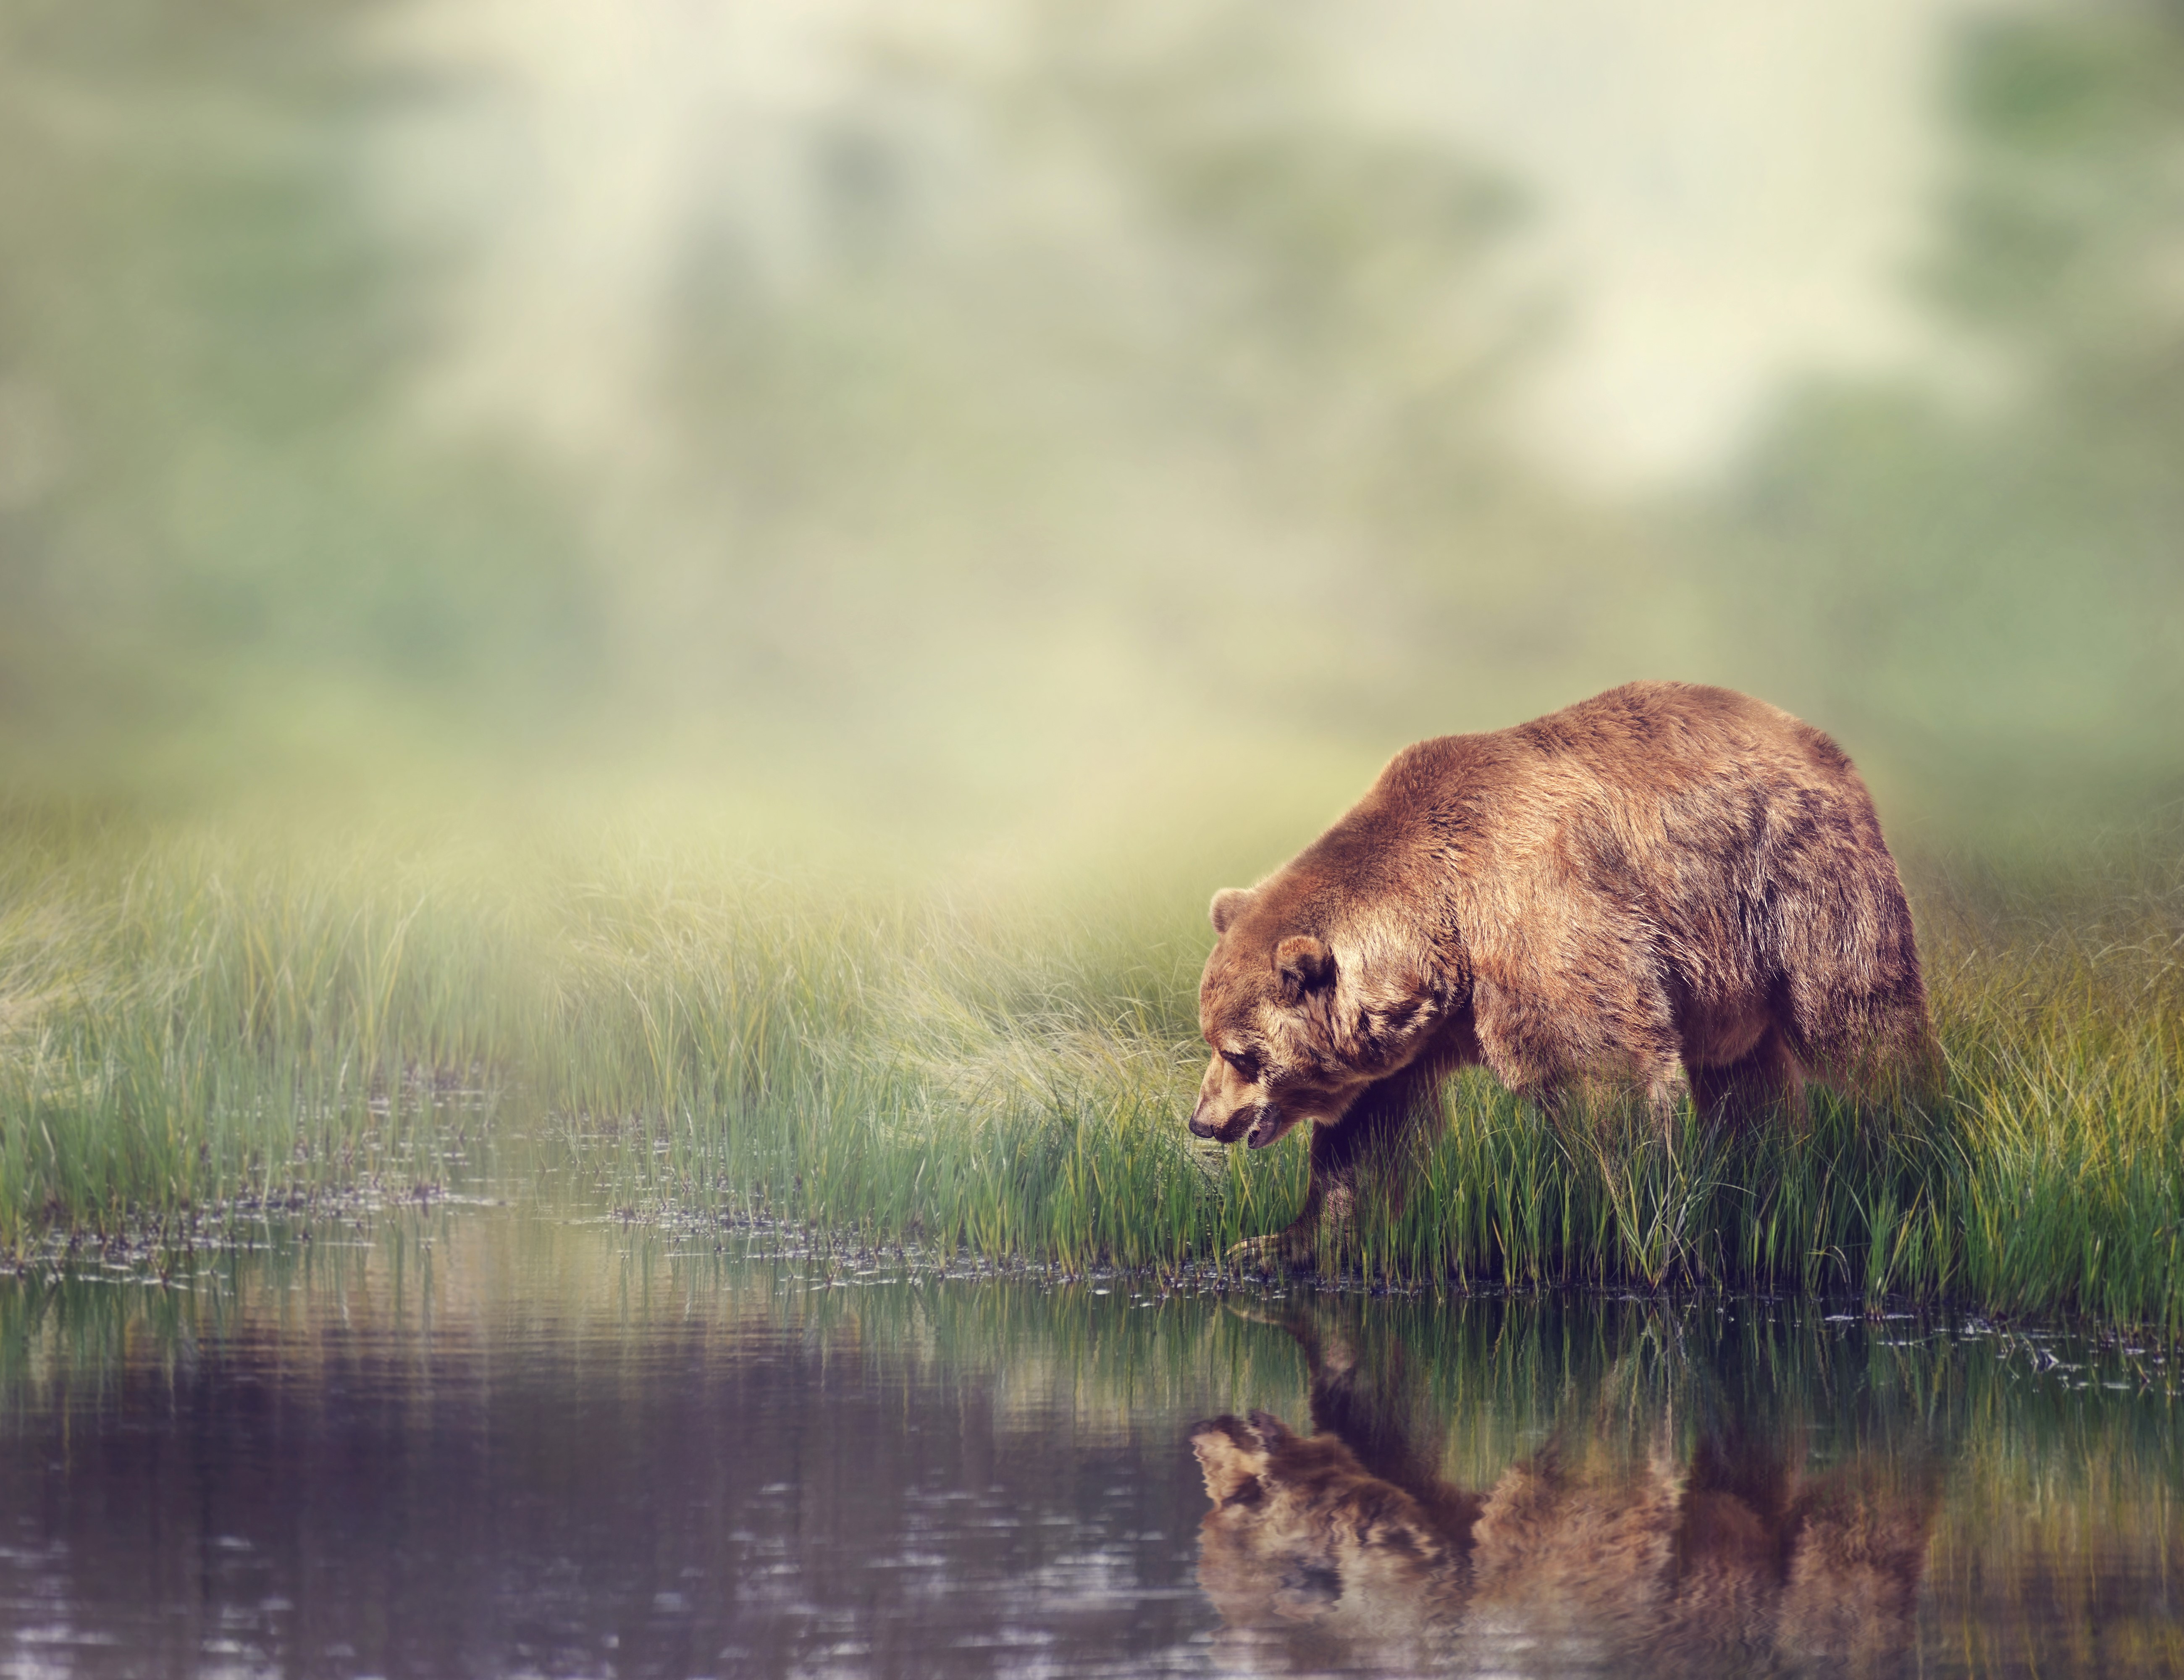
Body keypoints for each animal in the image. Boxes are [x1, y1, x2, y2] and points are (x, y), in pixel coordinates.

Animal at [1188, 681, 1940, 1262]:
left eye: (1241, 1053)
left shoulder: (1543, 919)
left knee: (1860, 1028)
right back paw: (1762, 1174)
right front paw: (1276, 1243)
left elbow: (1603, 1075)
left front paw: (1617, 1218)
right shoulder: (1414, 1039)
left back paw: (1898, 1150)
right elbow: (1365, 1143)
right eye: (1211, 1040)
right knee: (1744, 1077)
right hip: (1726, 970)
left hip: (1797, 883)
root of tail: (1816, 738)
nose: (1203, 1120)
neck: (1442, 936)